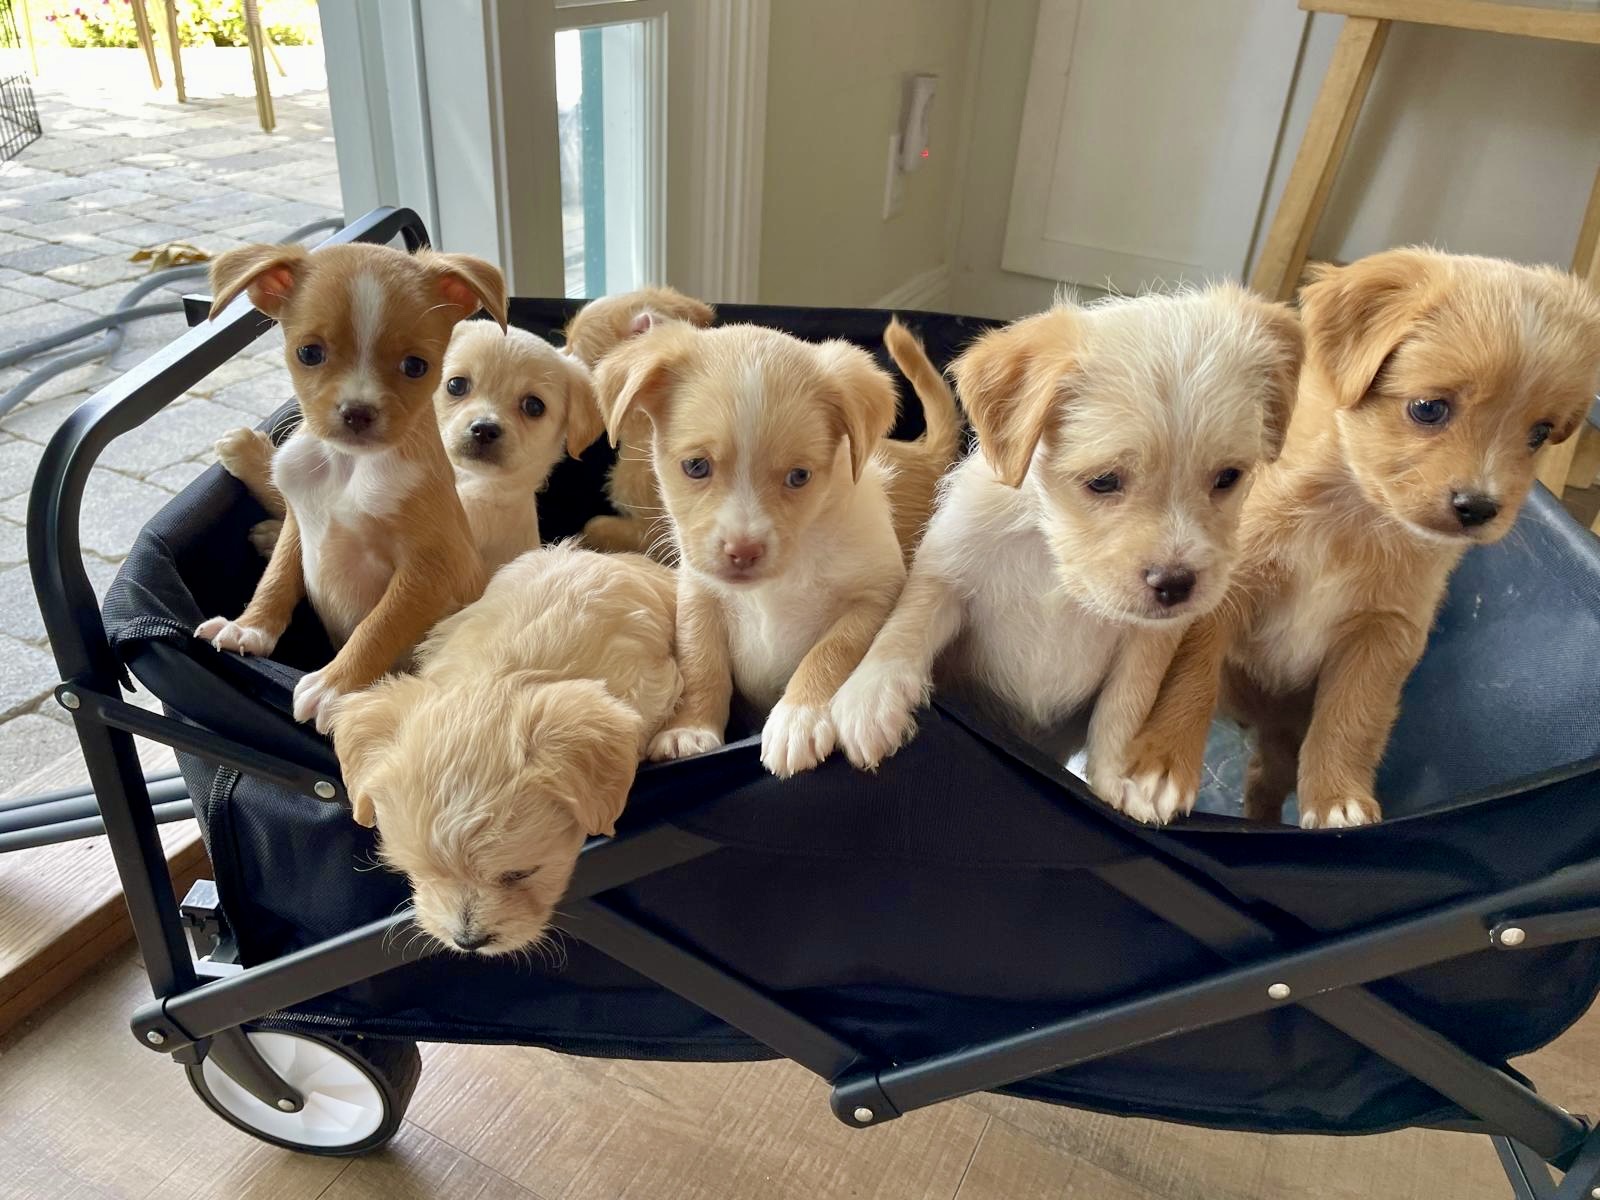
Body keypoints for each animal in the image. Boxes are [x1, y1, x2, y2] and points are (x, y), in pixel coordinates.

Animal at [194, 240, 507, 730]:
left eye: (416, 365)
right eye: (309, 353)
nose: (358, 411)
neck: (346, 470)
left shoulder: (431, 567)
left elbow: (378, 624)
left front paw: (333, 686)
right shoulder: (299, 525)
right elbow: (277, 577)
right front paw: (250, 626)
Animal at [596, 319, 958, 778]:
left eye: (799, 476)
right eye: (696, 466)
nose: (743, 551)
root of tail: (924, 453)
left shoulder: (874, 598)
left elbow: (831, 650)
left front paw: (796, 718)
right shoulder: (699, 595)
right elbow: (700, 662)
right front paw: (690, 728)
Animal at [830, 285, 1303, 822]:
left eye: (1228, 477)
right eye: (1103, 481)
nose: (1176, 584)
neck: (1054, 560)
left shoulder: (1145, 643)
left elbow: (1124, 708)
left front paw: (1117, 780)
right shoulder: (949, 572)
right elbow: (905, 628)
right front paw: (869, 699)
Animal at [1119, 250, 1600, 828]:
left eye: (1539, 433)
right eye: (1428, 408)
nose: (1479, 508)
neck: (1354, 517)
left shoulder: (1383, 633)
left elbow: (1353, 716)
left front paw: (1337, 800)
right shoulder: (1222, 592)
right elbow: (1188, 676)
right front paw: (1161, 767)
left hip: (1283, 742)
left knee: (1264, 784)